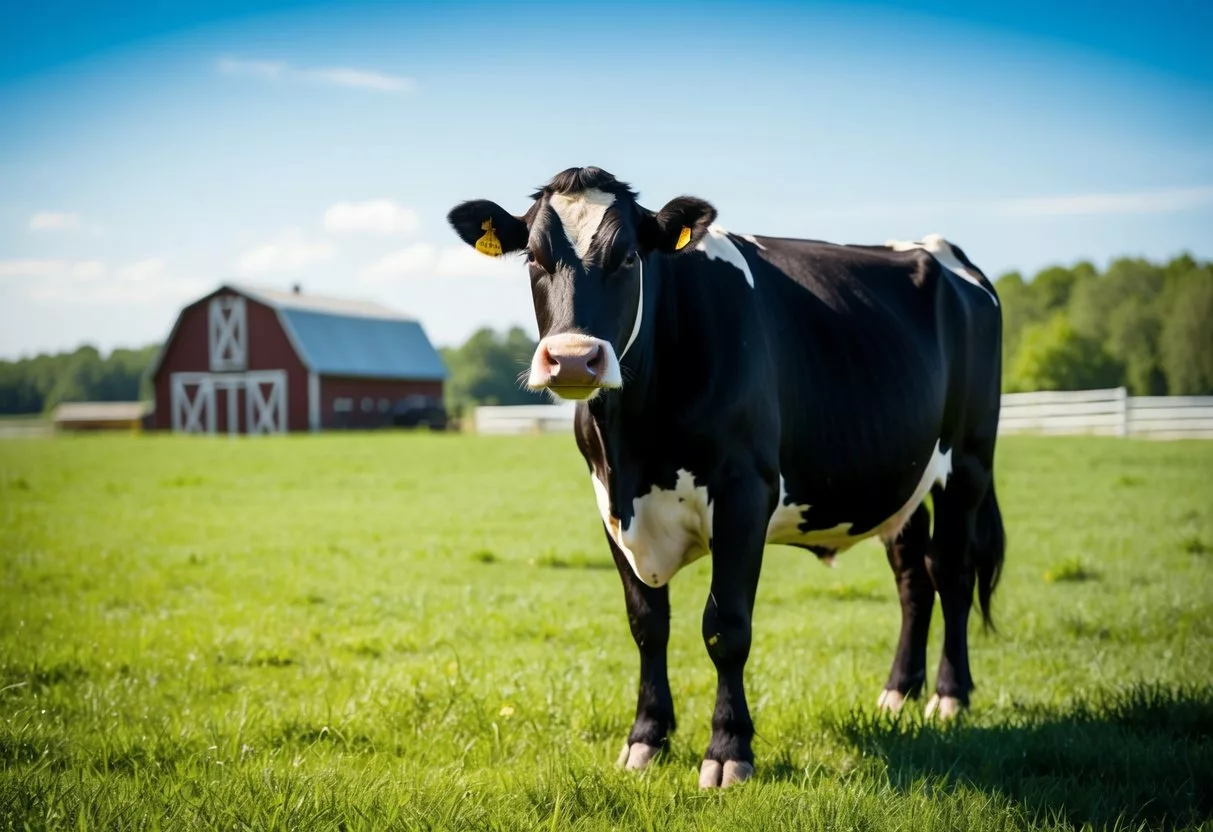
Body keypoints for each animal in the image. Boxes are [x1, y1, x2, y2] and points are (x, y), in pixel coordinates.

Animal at [446, 166, 1004, 790]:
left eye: (629, 257)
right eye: (534, 257)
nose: (571, 359)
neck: (635, 442)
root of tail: (940, 251)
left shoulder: (745, 493)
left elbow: (726, 627)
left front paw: (728, 749)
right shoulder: (611, 504)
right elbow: (647, 625)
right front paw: (646, 738)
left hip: (968, 464)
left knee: (952, 572)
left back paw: (949, 696)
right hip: (901, 482)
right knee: (914, 579)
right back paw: (896, 694)